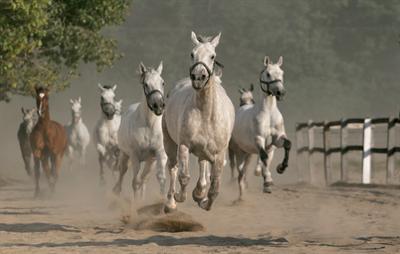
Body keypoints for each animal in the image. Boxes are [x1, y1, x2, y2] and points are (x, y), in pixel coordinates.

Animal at [112, 61, 167, 196]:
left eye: (162, 82)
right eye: (146, 84)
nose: (159, 105)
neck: (149, 126)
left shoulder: (159, 154)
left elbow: (161, 179)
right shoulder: (135, 155)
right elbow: (135, 182)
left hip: (150, 161)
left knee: (144, 179)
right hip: (125, 155)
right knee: (122, 173)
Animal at [162, 30, 236, 211]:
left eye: (212, 56)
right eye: (192, 54)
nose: (198, 77)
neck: (206, 114)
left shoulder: (219, 153)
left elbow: (214, 186)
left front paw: (202, 200)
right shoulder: (183, 145)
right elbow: (184, 176)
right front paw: (180, 197)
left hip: (205, 151)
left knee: (203, 169)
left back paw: (199, 192)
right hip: (169, 142)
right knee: (173, 168)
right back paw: (170, 203)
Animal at [230, 56, 292, 199]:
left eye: (282, 73)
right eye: (268, 74)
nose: (281, 92)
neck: (268, 113)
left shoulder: (277, 139)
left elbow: (287, 144)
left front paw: (281, 168)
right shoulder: (259, 139)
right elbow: (264, 156)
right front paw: (268, 182)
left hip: (249, 153)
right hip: (238, 151)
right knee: (240, 173)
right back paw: (241, 196)